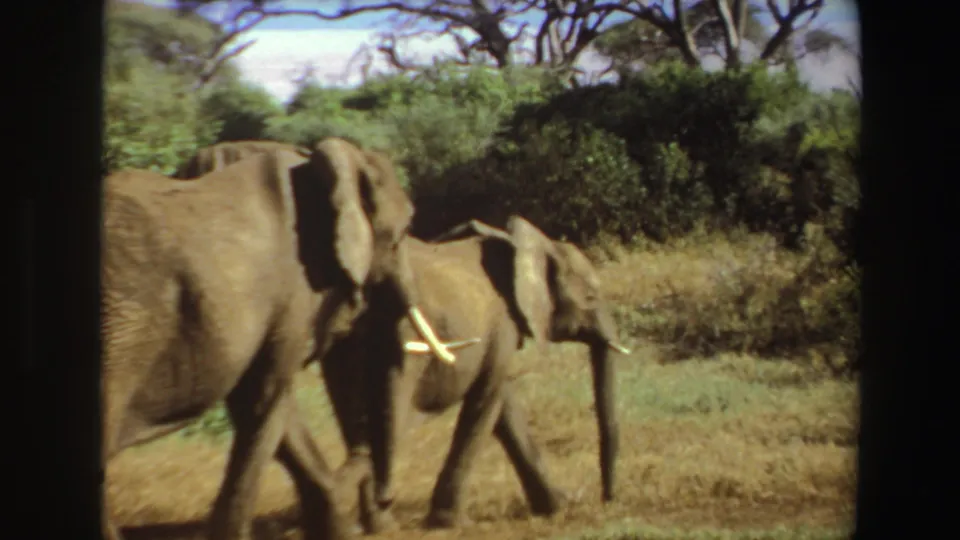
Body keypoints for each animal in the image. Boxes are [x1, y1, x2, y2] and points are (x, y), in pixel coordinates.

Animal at [318, 215, 631, 533]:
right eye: (591, 297)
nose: (608, 499)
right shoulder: (504, 323)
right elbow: (487, 401)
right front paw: (448, 522)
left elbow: (502, 404)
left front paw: (556, 506)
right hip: (402, 338)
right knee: (389, 421)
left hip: (342, 341)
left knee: (355, 418)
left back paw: (373, 521)